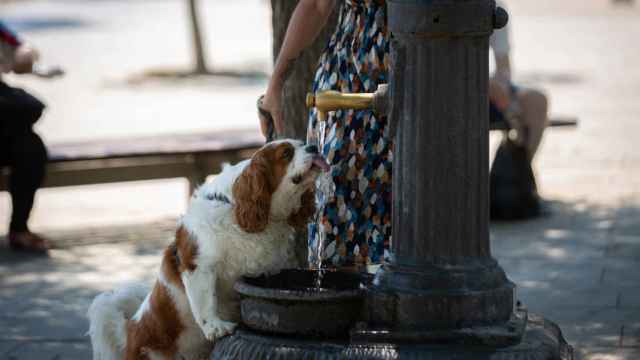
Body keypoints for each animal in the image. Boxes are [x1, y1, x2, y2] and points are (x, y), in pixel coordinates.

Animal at [87, 139, 328, 358]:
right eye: (286, 153)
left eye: (302, 144)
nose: (314, 146)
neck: (234, 207)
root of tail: (129, 332)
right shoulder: (199, 266)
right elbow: (206, 301)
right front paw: (215, 327)